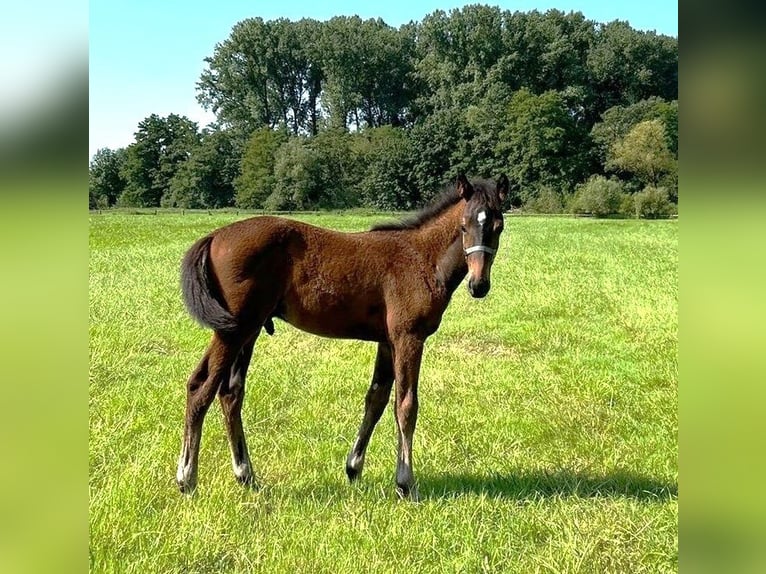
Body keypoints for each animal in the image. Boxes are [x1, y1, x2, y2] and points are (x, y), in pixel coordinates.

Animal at [176, 174, 510, 500]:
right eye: (464, 226)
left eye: (498, 227)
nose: (479, 285)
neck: (422, 258)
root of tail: (214, 236)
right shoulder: (409, 338)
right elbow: (406, 406)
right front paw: (406, 483)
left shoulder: (387, 342)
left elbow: (376, 399)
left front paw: (353, 468)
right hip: (234, 330)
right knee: (202, 387)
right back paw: (187, 478)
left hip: (248, 331)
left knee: (229, 392)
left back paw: (246, 476)